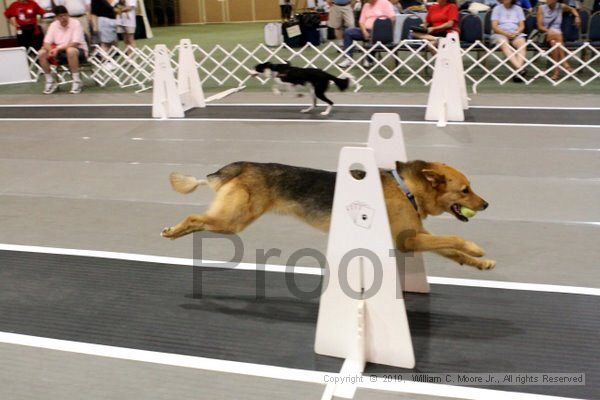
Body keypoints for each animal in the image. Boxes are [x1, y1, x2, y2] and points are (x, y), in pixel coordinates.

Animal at [162, 159, 494, 268]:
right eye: (465, 190)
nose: (487, 205)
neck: (407, 189)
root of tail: (238, 167)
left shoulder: (418, 237)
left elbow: (453, 250)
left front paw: (480, 262)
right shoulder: (408, 242)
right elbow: (455, 238)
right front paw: (476, 248)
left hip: (229, 221)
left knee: (199, 222)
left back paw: (176, 234)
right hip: (232, 221)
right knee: (194, 219)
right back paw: (173, 231)